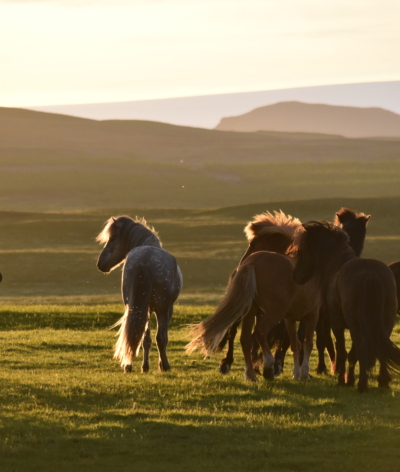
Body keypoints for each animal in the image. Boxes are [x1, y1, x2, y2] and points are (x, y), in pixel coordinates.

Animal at [97, 216, 183, 374]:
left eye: (112, 238)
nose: (100, 264)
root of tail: (145, 262)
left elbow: (145, 339)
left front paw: (145, 366)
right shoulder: (168, 310)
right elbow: (162, 338)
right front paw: (161, 365)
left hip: (136, 307)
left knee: (140, 335)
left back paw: (131, 366)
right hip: (162, 309)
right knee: (160, 338)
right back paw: (165, 365)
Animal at [187, 238, 322, 382]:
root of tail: (251, 263)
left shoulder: (290, 318)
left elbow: (295, 343)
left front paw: (297, 374)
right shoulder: (312, 315)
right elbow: (308, 343)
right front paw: (304, 374)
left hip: (251, 312)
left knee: (246, 338)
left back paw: (251, 374)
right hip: (274, 313)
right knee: (260, 331)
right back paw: (267, 366)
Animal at [290, 223, 400, 392]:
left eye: (302, 249)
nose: (296, 276)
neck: (337, 265)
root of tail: (372, 275)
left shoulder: (337, 324)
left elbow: (342, 351)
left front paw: (343, 380)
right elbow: (350, 353)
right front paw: (349, 380)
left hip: (356, 326)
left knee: (362, 349)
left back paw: (362, 385)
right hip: (386, 323)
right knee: (379, 349)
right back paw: (382, 382)